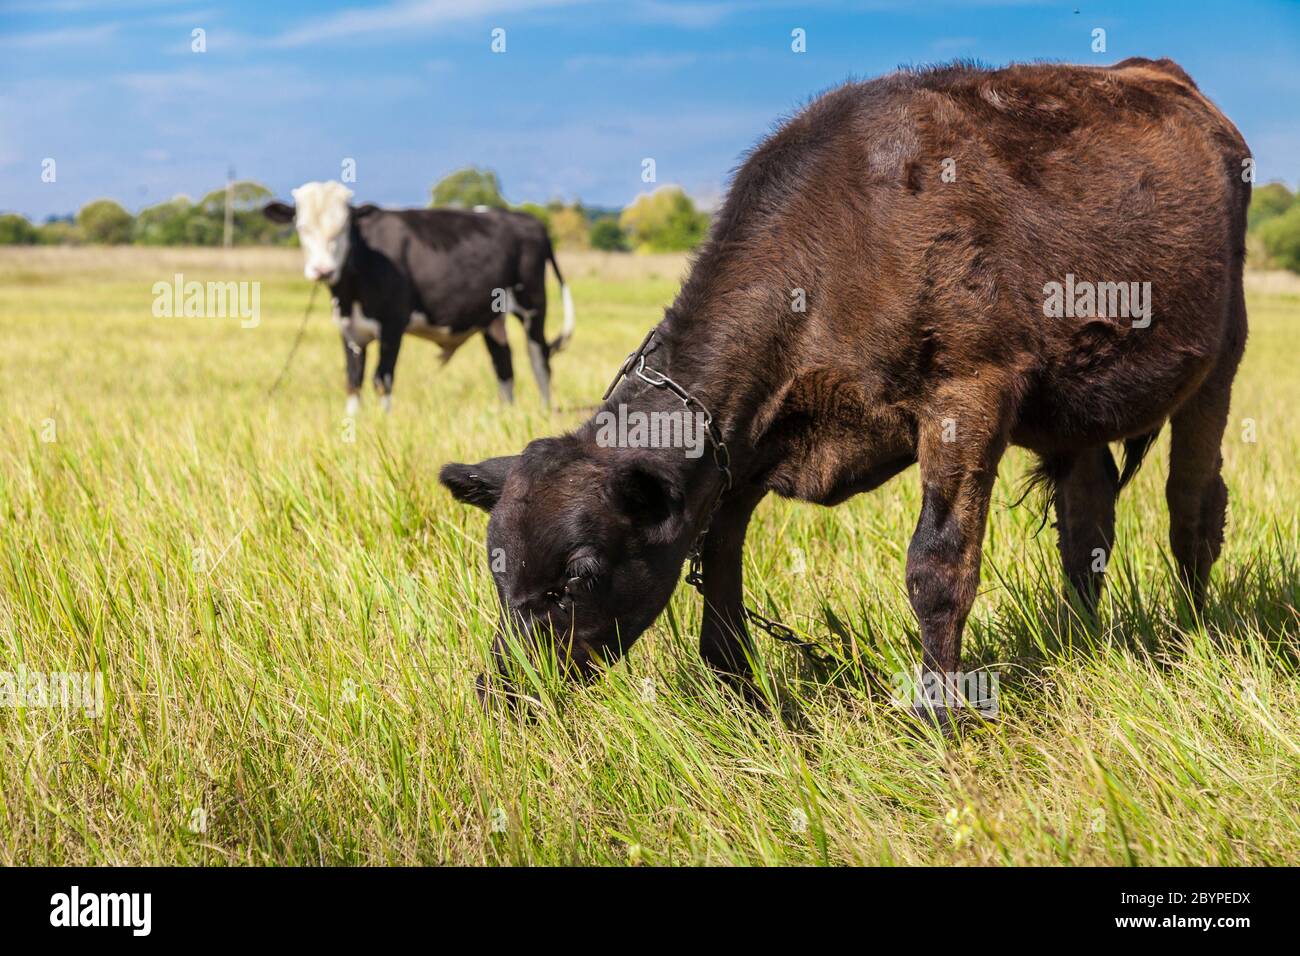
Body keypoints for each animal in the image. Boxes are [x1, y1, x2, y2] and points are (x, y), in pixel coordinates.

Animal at [263, 182, 575, 413]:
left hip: (532, 306)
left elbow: (382, 379)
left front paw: (383, 424)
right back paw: (505, 414)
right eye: (302, 228)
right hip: (492, 317)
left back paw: (544, 411)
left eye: (343, 228)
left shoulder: (393, 325)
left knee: (540, 361)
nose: (323, 270)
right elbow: (353, 382)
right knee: (504, 366)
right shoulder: (349, 330)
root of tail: (529, 219)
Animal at [439, 59, 1250, 724]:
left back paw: (1190, 634)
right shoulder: (743, 448)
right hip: (1074, 409)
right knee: (1087, 524)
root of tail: (1159, 74)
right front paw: (744, 700)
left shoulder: (969, 391)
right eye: (496, 569)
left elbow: (937, 565)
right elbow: (719, 576)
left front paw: (938, 717)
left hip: (1221, 355)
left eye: (580, 574)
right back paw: (1077, 640)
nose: (500, 691)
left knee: (1192, 509)